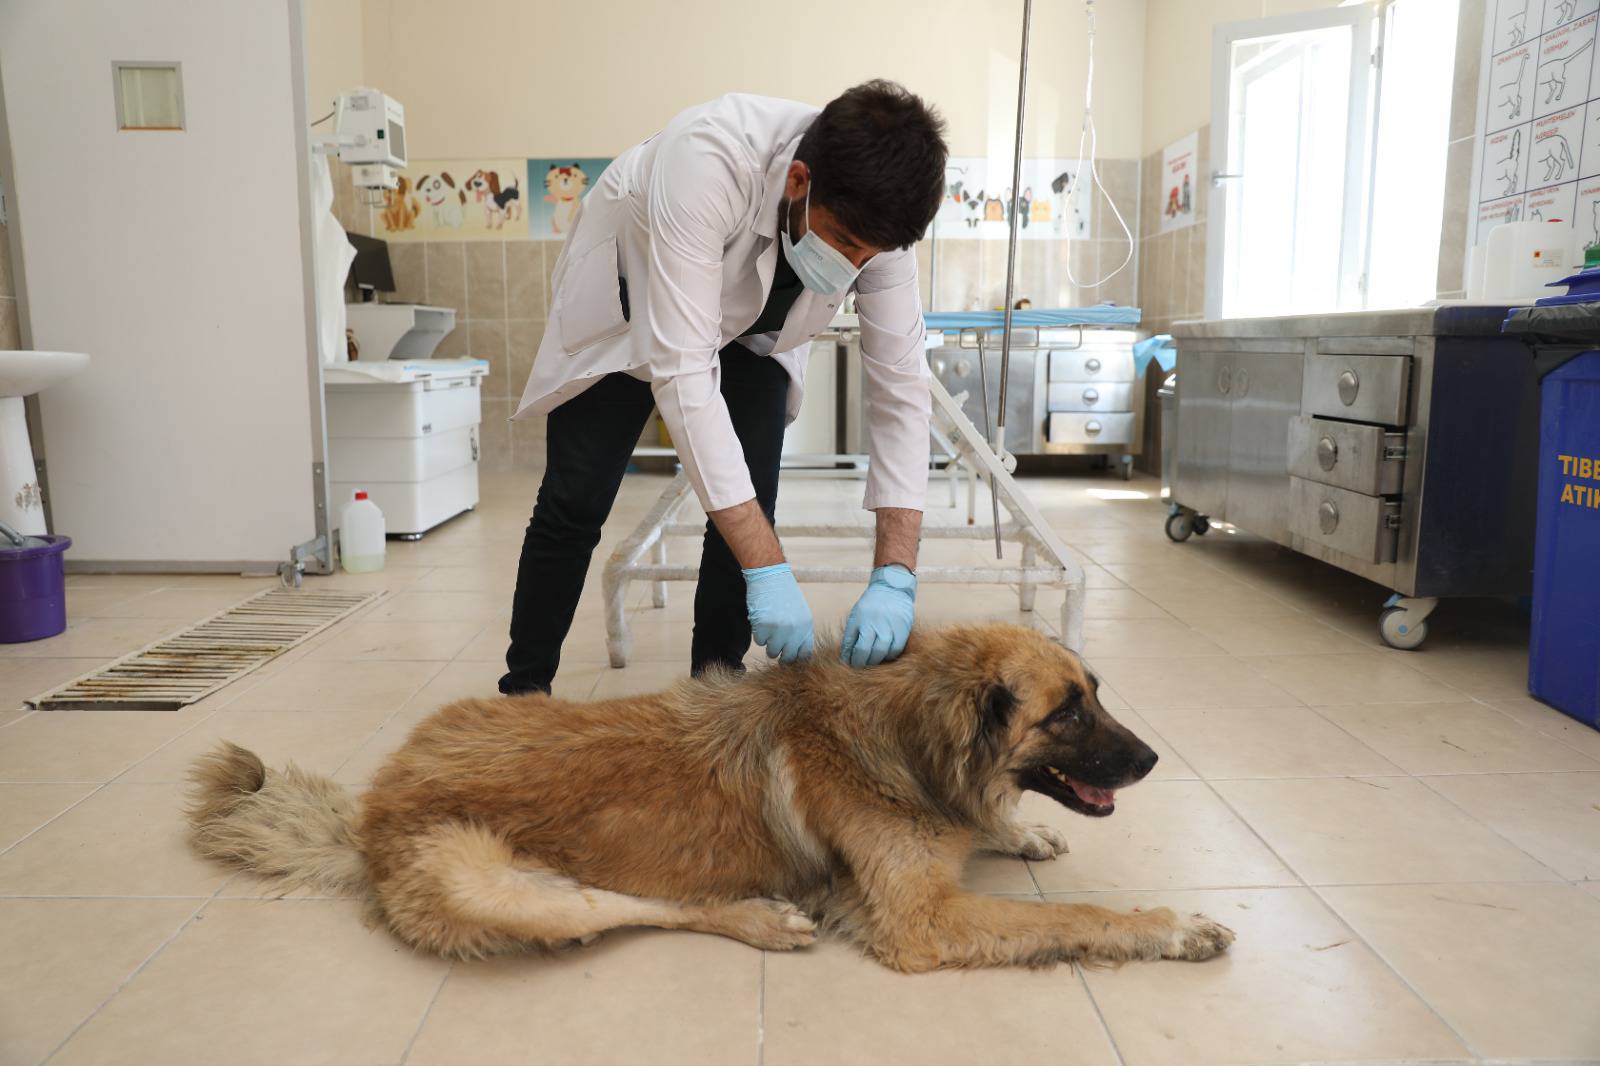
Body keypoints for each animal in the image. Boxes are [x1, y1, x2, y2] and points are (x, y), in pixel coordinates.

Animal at [190, 617, 1235, 966]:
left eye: (1096, 693)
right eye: (1068, 713)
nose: (1151, 761)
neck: (899, 740)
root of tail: (371, 811)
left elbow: (995, 827)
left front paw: (1018, 832)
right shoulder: (923, 923)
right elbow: (1073, 918)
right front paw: (1171, 927)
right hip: (497, 888)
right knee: (628, 906)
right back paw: (763, 918)